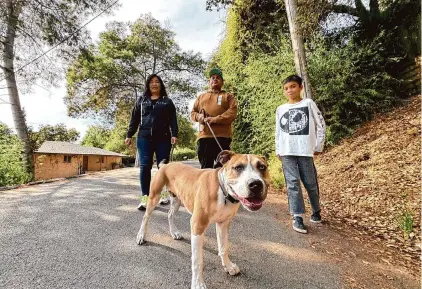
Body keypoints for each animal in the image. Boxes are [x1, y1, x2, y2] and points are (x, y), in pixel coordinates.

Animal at [135, 150, 268, 288]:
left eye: (262, 167)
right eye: (238, 168)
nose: (256, 184)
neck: (223, 191)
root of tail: (165, 165)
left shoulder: (223, 224)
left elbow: (223, 248)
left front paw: (228, 266)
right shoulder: (198, 225)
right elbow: (197, 260)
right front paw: (198, 283)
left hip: (177, 199)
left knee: (170, 214)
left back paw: (174, 233)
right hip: (154, 197)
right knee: (146, 217)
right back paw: (141, 236)